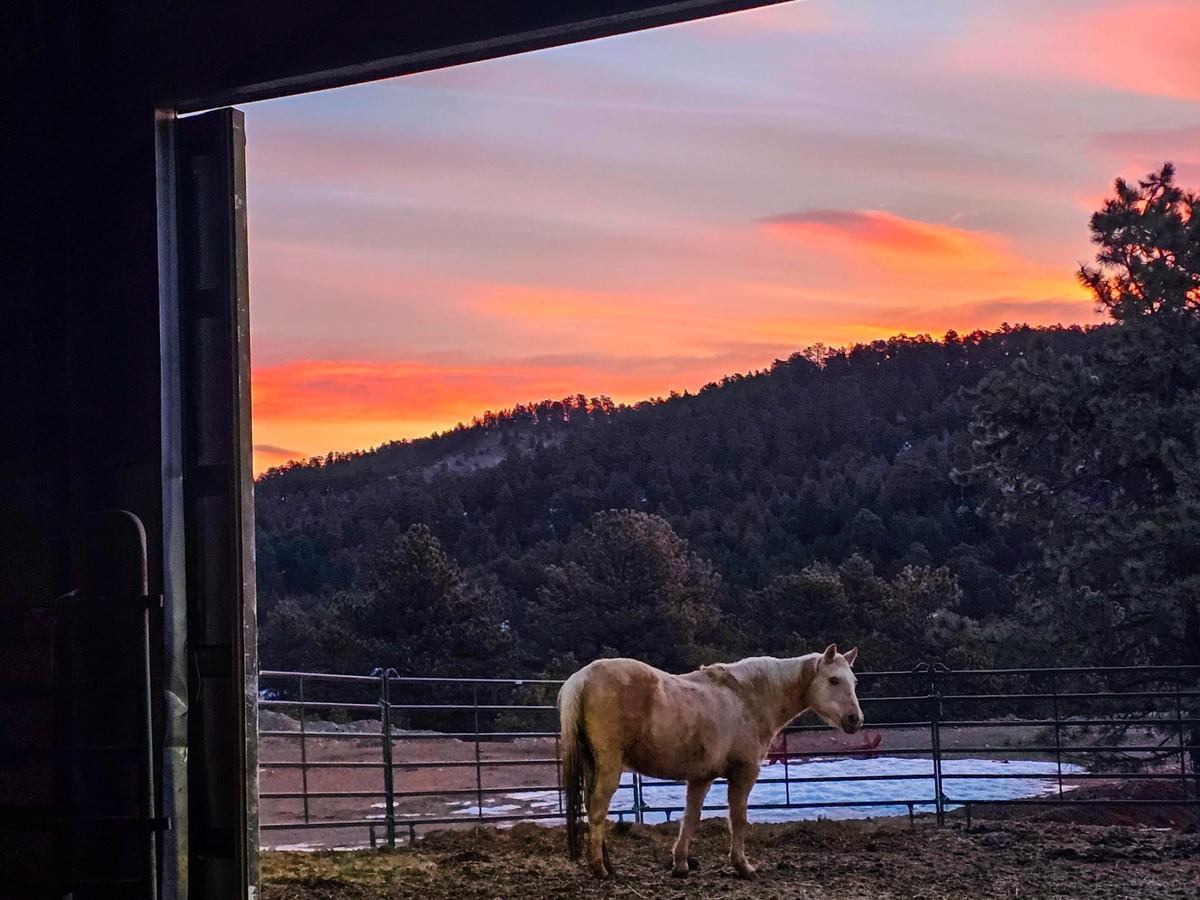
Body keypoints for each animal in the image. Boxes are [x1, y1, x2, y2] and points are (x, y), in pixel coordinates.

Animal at [556, 643, 859, 883]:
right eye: (833, 680)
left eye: (854, 682)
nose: (855, 719)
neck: (748, 698)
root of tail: (582, 678)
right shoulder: (744, 772)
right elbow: (738, 819)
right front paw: (742, 866)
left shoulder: (701, 777)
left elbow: (690, 817)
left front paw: (680, 865)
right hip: (609, 765)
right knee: (598, 810)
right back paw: (600, 869)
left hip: (592, 765)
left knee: (592, 810)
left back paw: (608, 864)